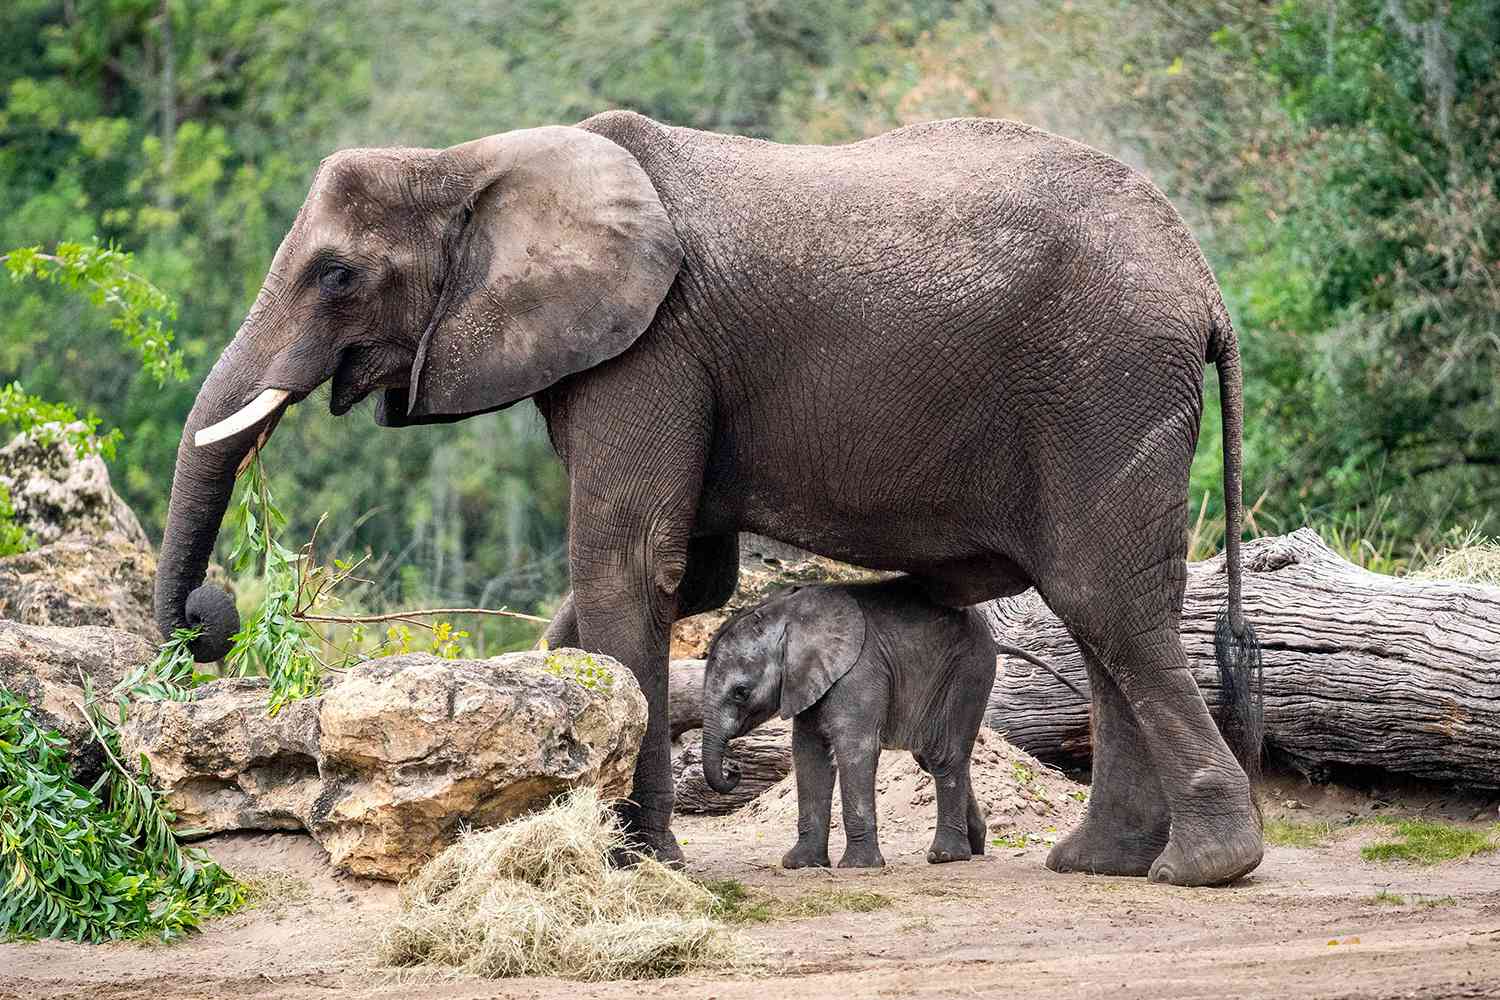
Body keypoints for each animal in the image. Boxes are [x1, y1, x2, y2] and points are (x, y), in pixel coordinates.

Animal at [699, 578, 1056, 869]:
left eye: (740, 692)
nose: (733, 770)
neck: (787, 616)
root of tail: (993, 639)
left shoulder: (858, 671)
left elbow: (854, 747)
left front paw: (857, 867)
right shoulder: (806, 681)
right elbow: (808, 753)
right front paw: (799, 864)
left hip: (968, 673)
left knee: (944, 755)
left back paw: (946, 856)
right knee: (931, 758)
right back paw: (975, 847)